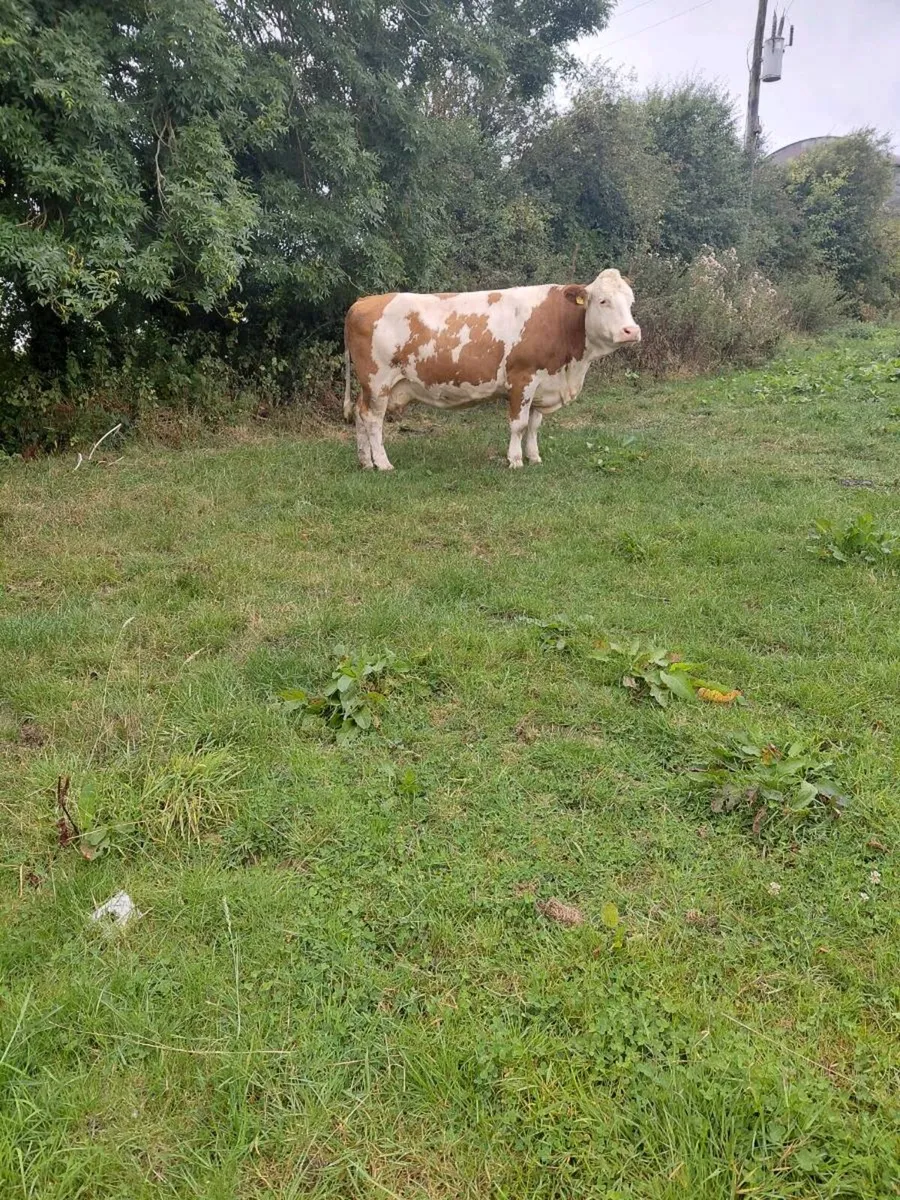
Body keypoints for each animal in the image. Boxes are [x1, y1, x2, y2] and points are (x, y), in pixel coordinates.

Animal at [343, 269, 640, 470]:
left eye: (631, 302)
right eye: (602, 301)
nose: (631, 331)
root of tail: (363, 301)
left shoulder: (543, 382)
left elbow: (534, 425)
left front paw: (534, 456)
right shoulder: (523, 377)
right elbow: (519, 424)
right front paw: (516, 460)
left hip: (370, 386)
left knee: (359, 412)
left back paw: (365, 461)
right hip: (378, 381)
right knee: (373, 419)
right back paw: (383, 463)